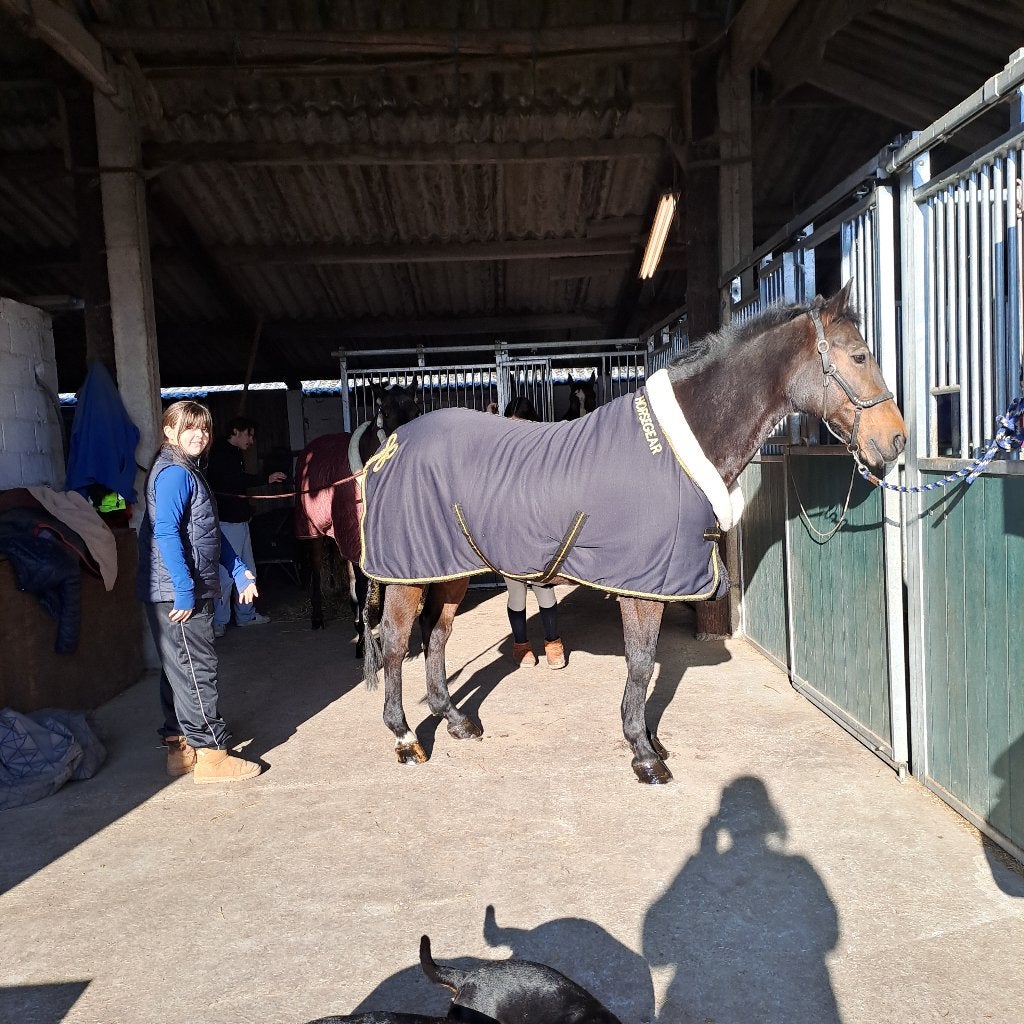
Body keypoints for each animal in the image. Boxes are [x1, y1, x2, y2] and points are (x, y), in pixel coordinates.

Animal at [293, 379, 420, 656]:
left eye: (416, 410)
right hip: (313, 530)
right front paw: (363, 642)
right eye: (385, 412)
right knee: (317, 571)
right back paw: (319, 618)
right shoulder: (355, 540)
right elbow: (362, 589)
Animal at [358, 284, 907, 783]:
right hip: (406, 578)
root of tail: (389, 449)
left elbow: (646, 663)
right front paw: (643, 754)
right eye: (859, 356)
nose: (896, 440)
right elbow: (641, 664)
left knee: (437, 638)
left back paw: (455, 721)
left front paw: (649, 741)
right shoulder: (642, 586)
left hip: (447, 571)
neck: (680, 448)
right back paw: (405, 738)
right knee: (395, 644)